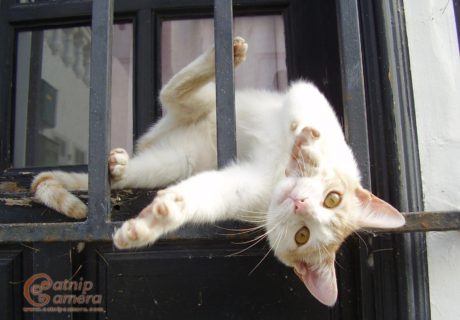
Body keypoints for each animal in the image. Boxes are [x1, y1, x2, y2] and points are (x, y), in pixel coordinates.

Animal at [32, 37, 404, 304]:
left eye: (303, 235)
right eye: (333, 199)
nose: (300, 203)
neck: (277, 175)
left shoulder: (245, 195)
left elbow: (203, 197)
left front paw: (153, 222)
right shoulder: (313, 101)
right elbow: (308, 117)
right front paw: (306, 147)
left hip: (174, 161)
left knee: (155, 142)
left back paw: (117, 168)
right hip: (201, 105)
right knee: (172, 90)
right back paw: (227, 54)